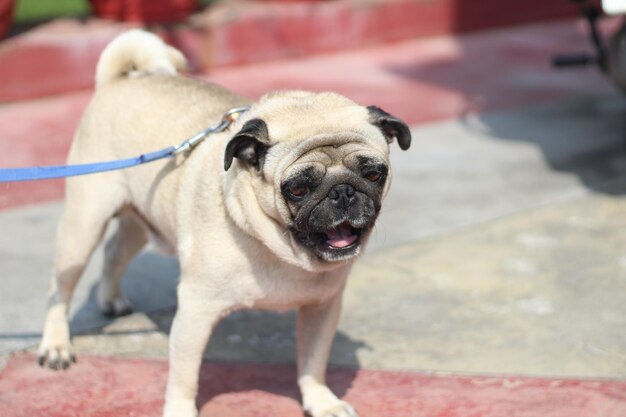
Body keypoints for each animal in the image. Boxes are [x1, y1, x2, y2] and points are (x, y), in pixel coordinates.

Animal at [37, 30, 410, 416]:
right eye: (297, 188)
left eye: (374, 174)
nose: (343, 192)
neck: (276, 246)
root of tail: (121, 80)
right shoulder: (195, 311)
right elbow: (185, 375)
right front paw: (180, 410)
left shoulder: (322, 308)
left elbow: (312, 362)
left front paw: (321, 401)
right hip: (83, 225)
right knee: (60, 287)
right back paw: (56, 346)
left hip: (142, 218)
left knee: (115, 250)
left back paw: (111, 300)